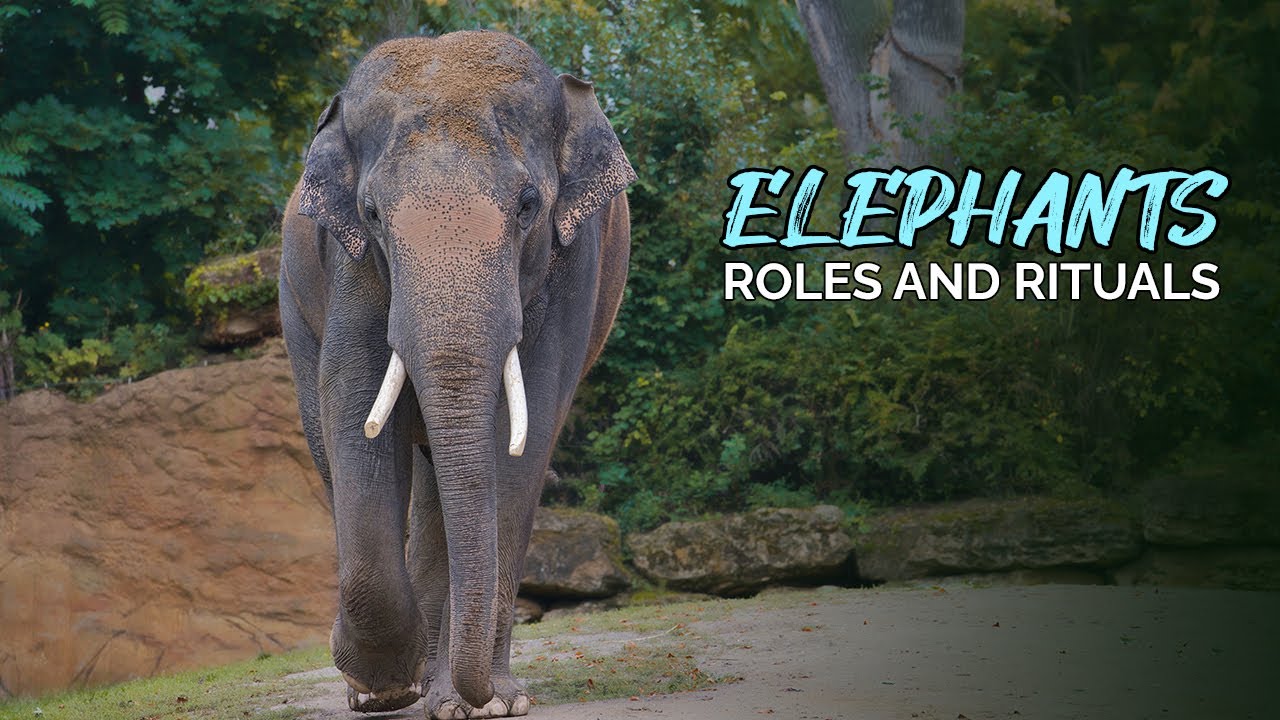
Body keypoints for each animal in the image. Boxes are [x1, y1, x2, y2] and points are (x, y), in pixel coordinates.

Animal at [278, 30, 634, 719]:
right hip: (293, 305)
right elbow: (352, 408)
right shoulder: (353, 266)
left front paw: (487, 705)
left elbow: (526, 434)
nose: (481, 694)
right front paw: (383, 687)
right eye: (371, 213)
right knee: (333, 443)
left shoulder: (573, 262)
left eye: (528, 206)